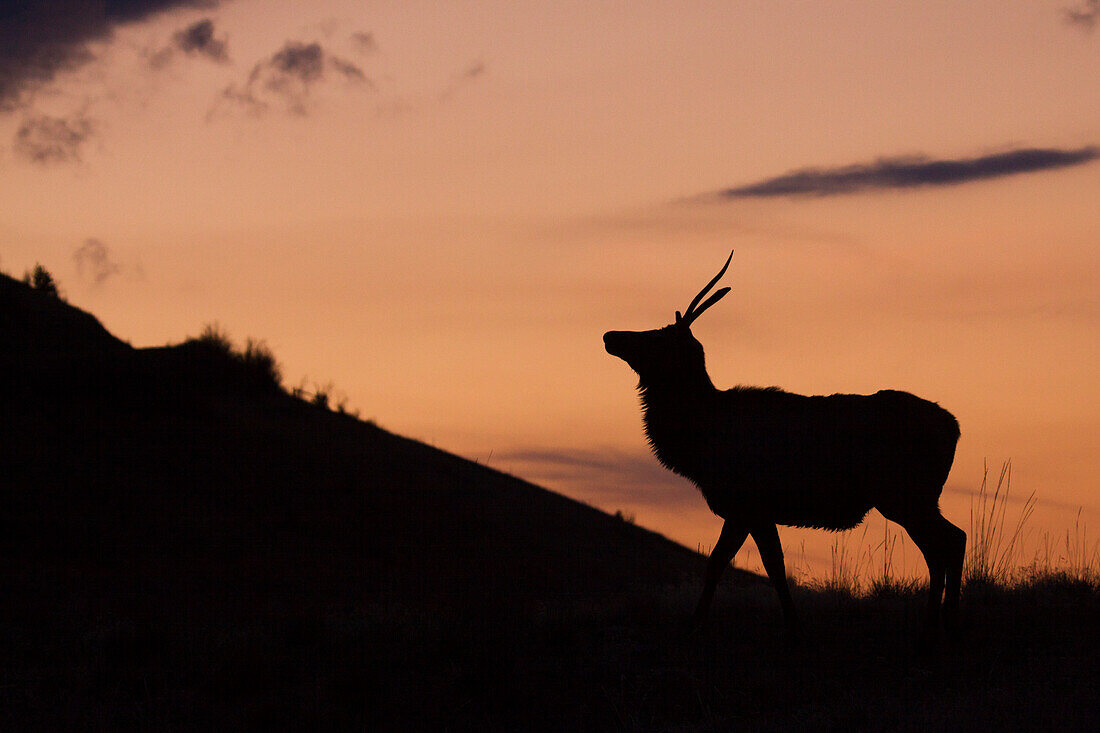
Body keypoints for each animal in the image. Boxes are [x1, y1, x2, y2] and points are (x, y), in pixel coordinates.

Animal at [607, 249, 968, 633]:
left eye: (658, 337)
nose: (609, 335)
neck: (698, 444)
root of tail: (955, 427)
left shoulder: (747, 504)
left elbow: (736, 566)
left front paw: (702, 625)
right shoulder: (754, 511)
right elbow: (757, 567)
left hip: (907, 494)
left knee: (951, 541)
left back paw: (945, 619)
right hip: (916, 498)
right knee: (943, 545)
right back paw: (935, 620)